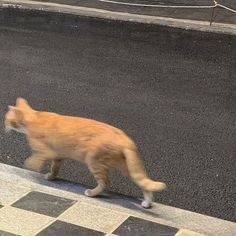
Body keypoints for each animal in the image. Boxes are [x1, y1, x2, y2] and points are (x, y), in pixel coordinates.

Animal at [3, 97, 166, 206]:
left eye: (6, 119)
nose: (3, 126)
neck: (34, 117)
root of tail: (126, 139)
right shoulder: (58, 155)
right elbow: (54, 168)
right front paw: (51, 176)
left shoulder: (46, 152)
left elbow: (34, 160)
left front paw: (30, 167)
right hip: (126, 166)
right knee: (143, 182)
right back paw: (147, 203)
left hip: (95, 162)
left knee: (105, 182)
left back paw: (92, 193)